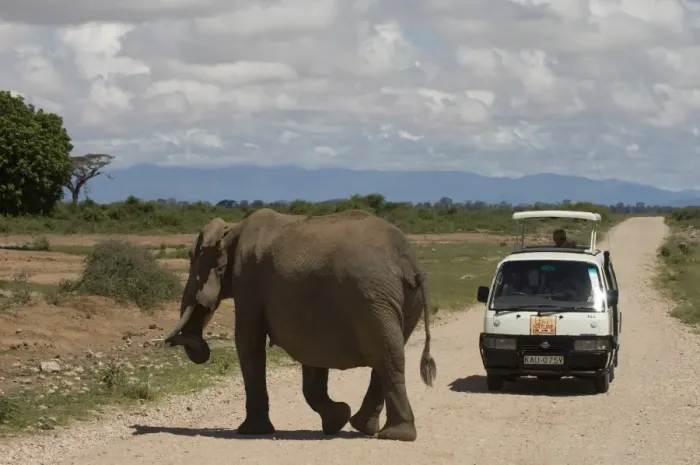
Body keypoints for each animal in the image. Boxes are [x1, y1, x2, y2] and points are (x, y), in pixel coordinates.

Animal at [163, 208, 437, 442]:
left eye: (192, 258)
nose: (174, 341)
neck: (232, 229)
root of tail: (409, 262)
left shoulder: (247, 278)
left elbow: (248, 341)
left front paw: (250, 432)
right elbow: (312, 353)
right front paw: (336, 420)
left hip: (372, 298)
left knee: (385, 356)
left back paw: (394, 435)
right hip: (402, 300)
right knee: (389, 353)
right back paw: (366, 427)